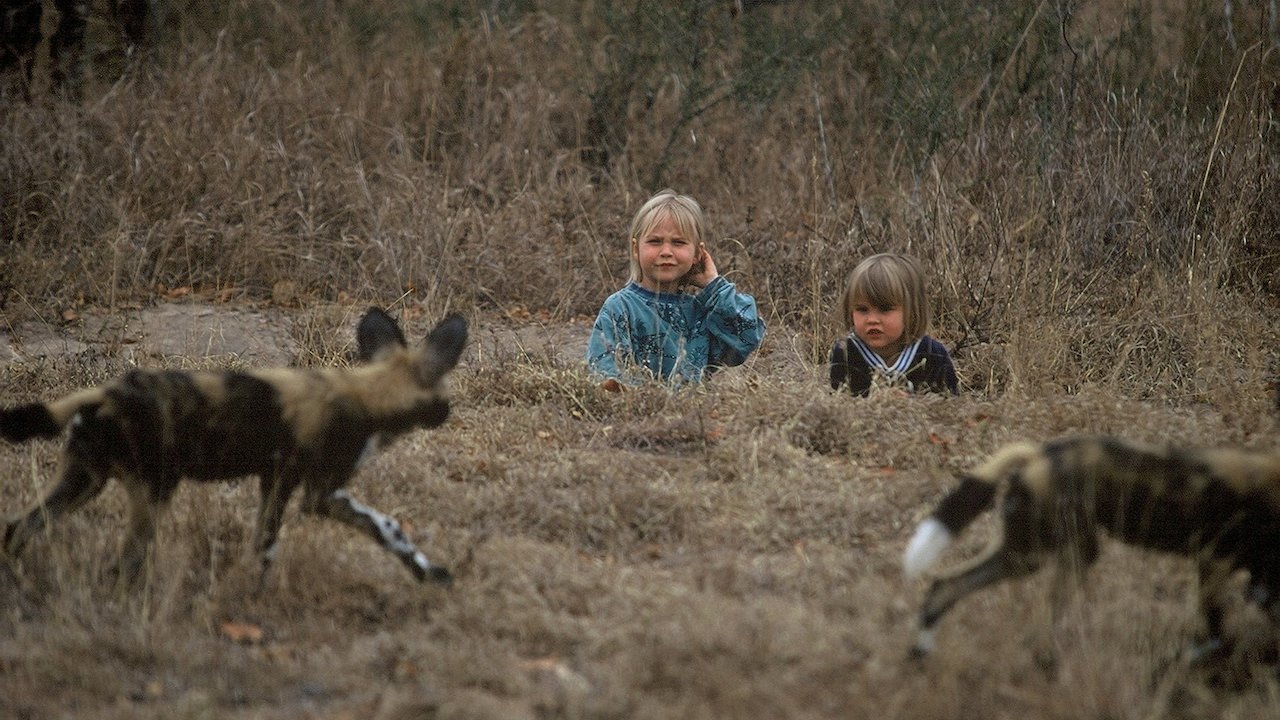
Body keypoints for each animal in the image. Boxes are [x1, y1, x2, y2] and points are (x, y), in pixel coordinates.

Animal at [0, 304, 471, 586]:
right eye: (444, 398)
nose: (447, 413)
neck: (368, 391)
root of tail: (106, 393)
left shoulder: (291, 484)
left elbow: (387, 529)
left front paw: (427, 572)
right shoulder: (311, 490)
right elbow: (271, 545)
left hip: (85, 480)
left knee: (18, 528)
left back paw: (18, 583)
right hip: (153, 491)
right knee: (126, 561)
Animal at [901, 430, 1280, 661]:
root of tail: (1039, 454)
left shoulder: (1259, 577)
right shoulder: (1216, 562)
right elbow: (1215, 632)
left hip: (1027, 554)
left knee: (946, 586)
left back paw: (922, 657)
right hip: (1045, 553)